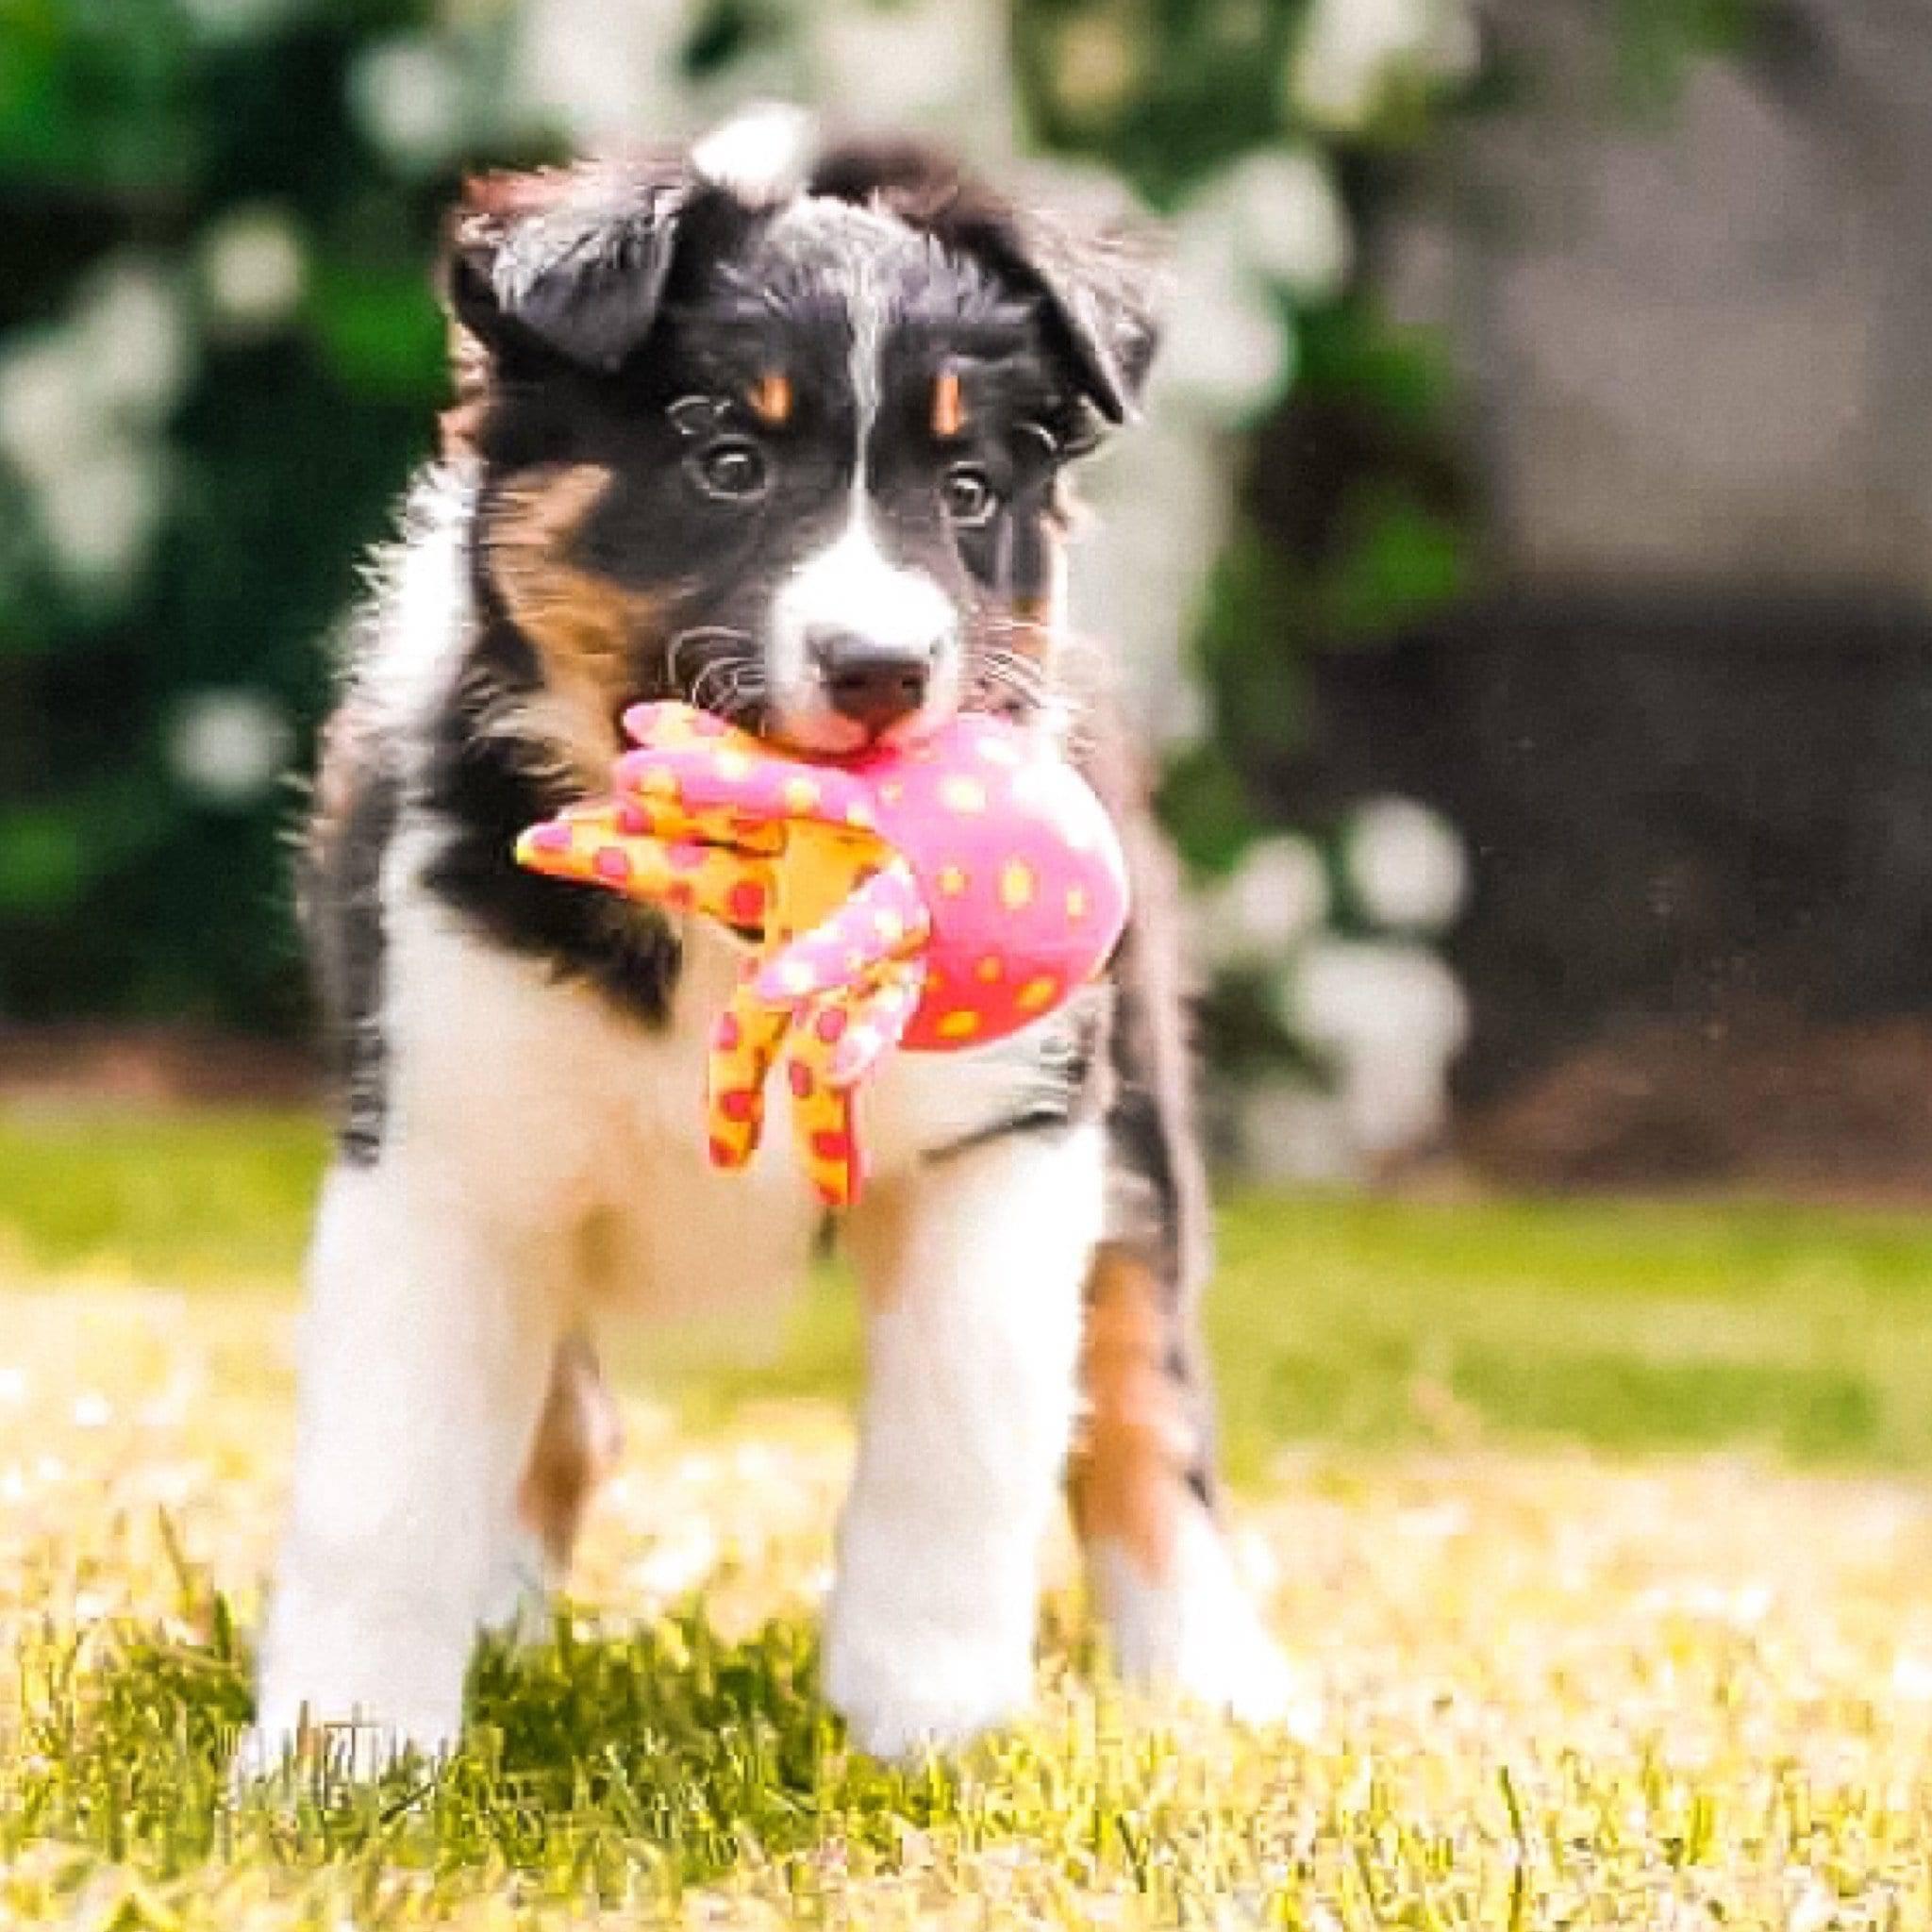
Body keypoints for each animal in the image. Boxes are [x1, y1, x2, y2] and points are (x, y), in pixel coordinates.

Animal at [249, 106, 1291, 1769]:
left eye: (970, 491)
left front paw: (926, 1731)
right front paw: (338, 1764)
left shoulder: (1005, 1137)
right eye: (727, 460)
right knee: (561, 1410)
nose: (882, 670)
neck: (734, 917)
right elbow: (386, 1481)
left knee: (1144, 1391)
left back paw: (1212, 1680)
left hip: (1137, 1108)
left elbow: (963, 1445)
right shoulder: (442, 1142)